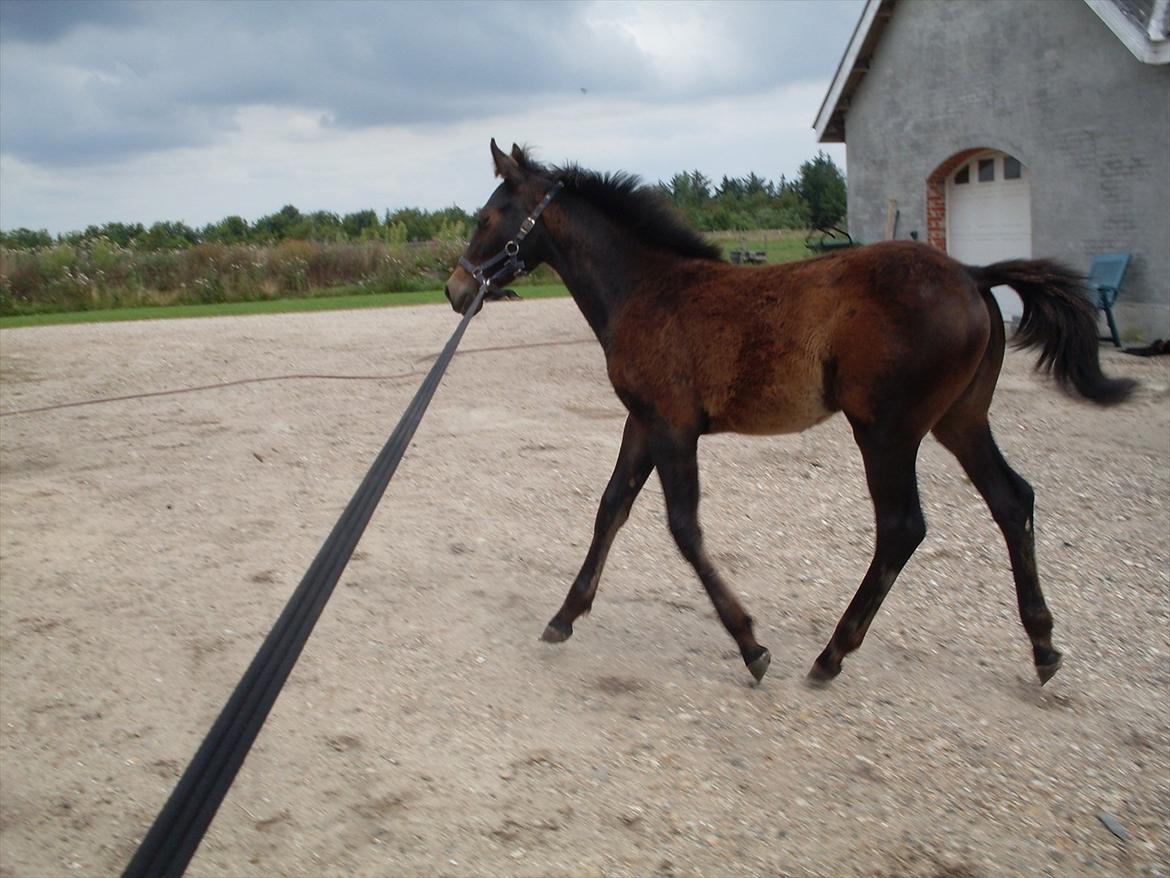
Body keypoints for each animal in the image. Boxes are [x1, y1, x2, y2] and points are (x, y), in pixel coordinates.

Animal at [442, 139, 1137, 688]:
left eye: (487, 216)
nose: (456, 288)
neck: (646, 288)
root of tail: (972, 273)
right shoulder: (642, 422)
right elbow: (610, 508)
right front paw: (564, 617)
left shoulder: (671, 427)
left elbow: (683, 528)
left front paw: (752, 646)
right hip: (960, 421)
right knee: (1012, 499)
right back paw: (1043, 647)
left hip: (886, 430)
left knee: (903, 527)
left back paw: (831, 656)